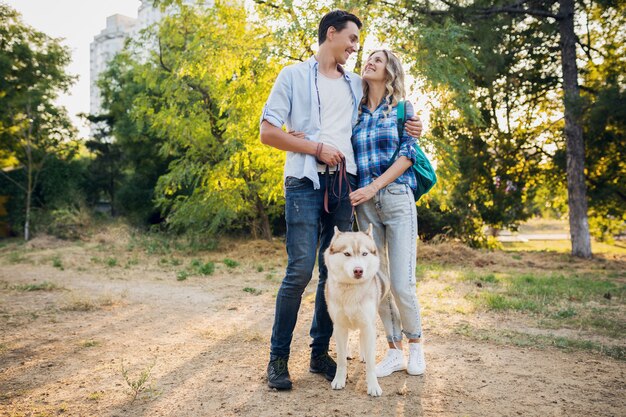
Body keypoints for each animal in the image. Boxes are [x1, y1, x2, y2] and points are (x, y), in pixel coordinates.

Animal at [322, 224, 386, 396]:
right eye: (347, 254)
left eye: (364, 253)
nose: (358, 270)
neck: (351, 289)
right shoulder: (339, 326)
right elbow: (341, 360)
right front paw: (339, 380)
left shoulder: (368, 325)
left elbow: (370, 363)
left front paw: (373, 386)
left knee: (361, 337)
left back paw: (362, 354)